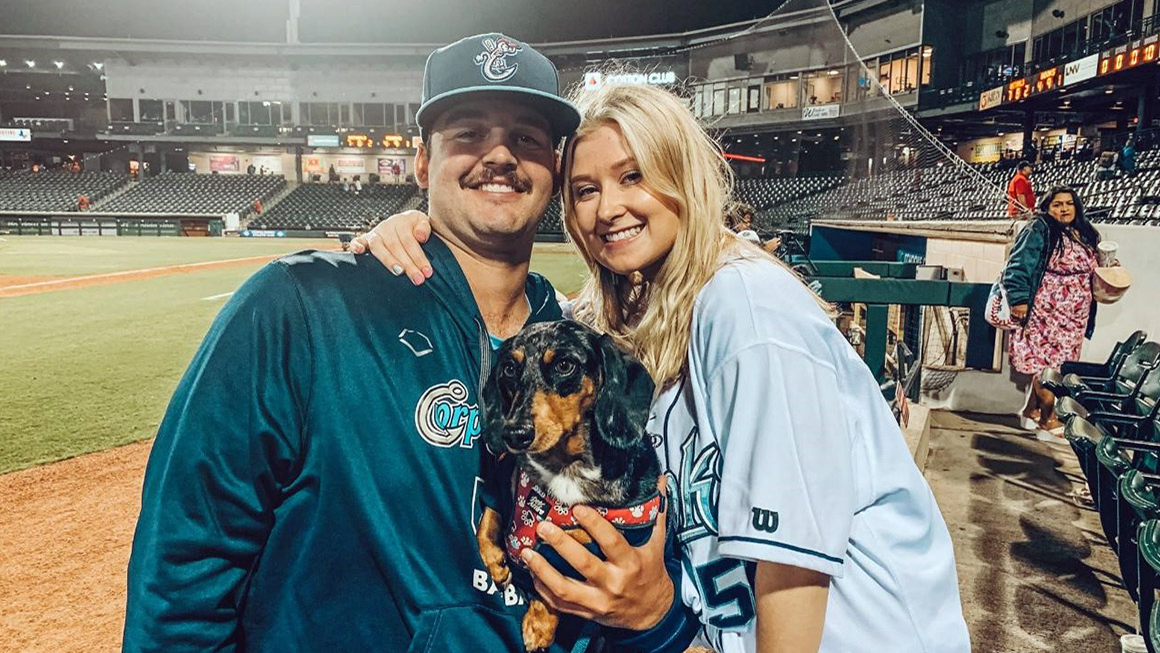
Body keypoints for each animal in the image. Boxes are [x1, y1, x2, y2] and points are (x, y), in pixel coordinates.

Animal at [475, 320, 663, 649]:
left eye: (565, 365)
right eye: (510, 368)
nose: (515, 434)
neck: (563, 467)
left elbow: (555, 561)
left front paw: (539, 622)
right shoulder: (502, 482)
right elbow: (489, 518)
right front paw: (496, 561)